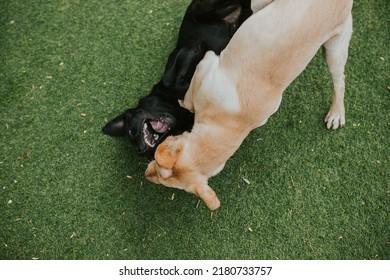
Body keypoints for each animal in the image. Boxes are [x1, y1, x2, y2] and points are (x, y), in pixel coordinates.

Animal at [102, 0, 251, 156]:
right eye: (132, 136)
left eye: (131, 131)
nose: (140, 150)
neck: (175, 109)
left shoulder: (189, 50)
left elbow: (177, 84)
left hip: (202, 10)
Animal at [145, 0, 354, 210]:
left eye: (158, 171)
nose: (146, 176)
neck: (232, 123)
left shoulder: (208, 62)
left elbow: (190, 96)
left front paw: (185, 101)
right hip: (333, 47)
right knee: (340, 78)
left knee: (339, 81)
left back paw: (336, 112)